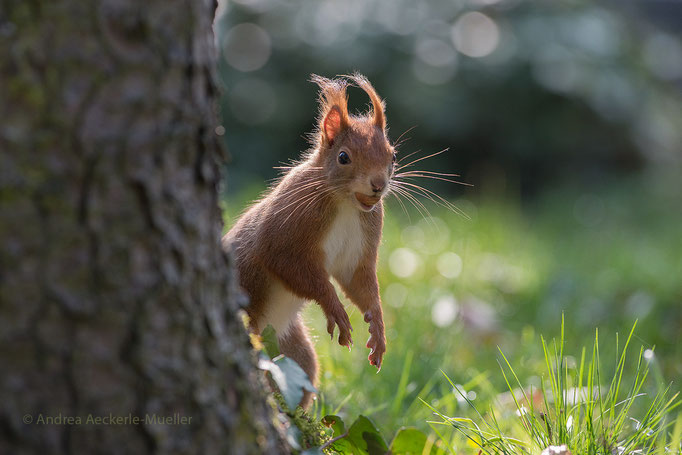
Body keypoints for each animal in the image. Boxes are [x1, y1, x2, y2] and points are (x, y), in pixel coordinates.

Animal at [223, 73, 394, 408]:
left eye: (392, 155)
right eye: (343, 157)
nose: (378, 185)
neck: (346, 204)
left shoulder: (360, 247)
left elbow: (359, 283)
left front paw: (378, 330)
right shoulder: (285, 232)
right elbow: (291, 266)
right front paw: (334, 307)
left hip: (296, 354)